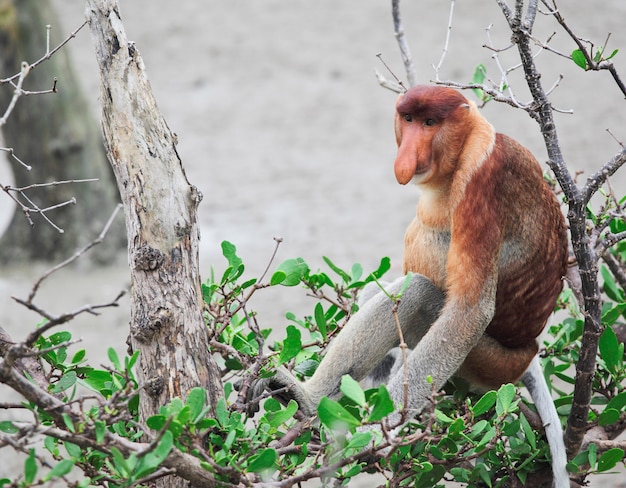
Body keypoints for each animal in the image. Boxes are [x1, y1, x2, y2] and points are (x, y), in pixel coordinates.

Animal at [252, 86, 564, 486]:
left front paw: (372, 436)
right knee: (381, 294)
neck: (465, 148)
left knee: (418, 292)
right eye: (409, 120)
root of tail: (526, 350)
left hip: (485, 361)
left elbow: (469, 312)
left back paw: (309, 401)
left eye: (431, 123)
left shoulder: (484, 183)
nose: (407, 155)